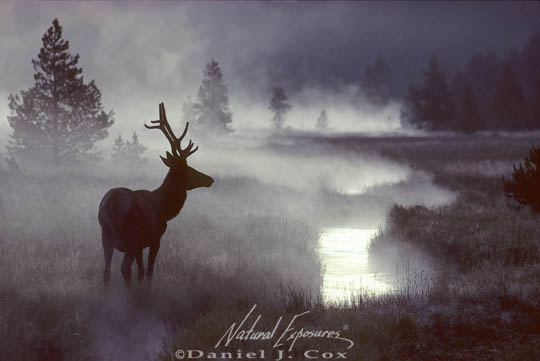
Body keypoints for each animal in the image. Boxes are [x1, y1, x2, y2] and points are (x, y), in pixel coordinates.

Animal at [99, 102, 213, 286]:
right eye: (187, 169)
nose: (210, 179)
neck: (165, 209)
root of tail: (111, 204)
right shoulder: (155, 238)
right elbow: (149, 271)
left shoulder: (140, 246)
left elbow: (140, 271)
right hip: (131, 235)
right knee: (124, 268)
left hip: (105, 234)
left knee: (106, 271)